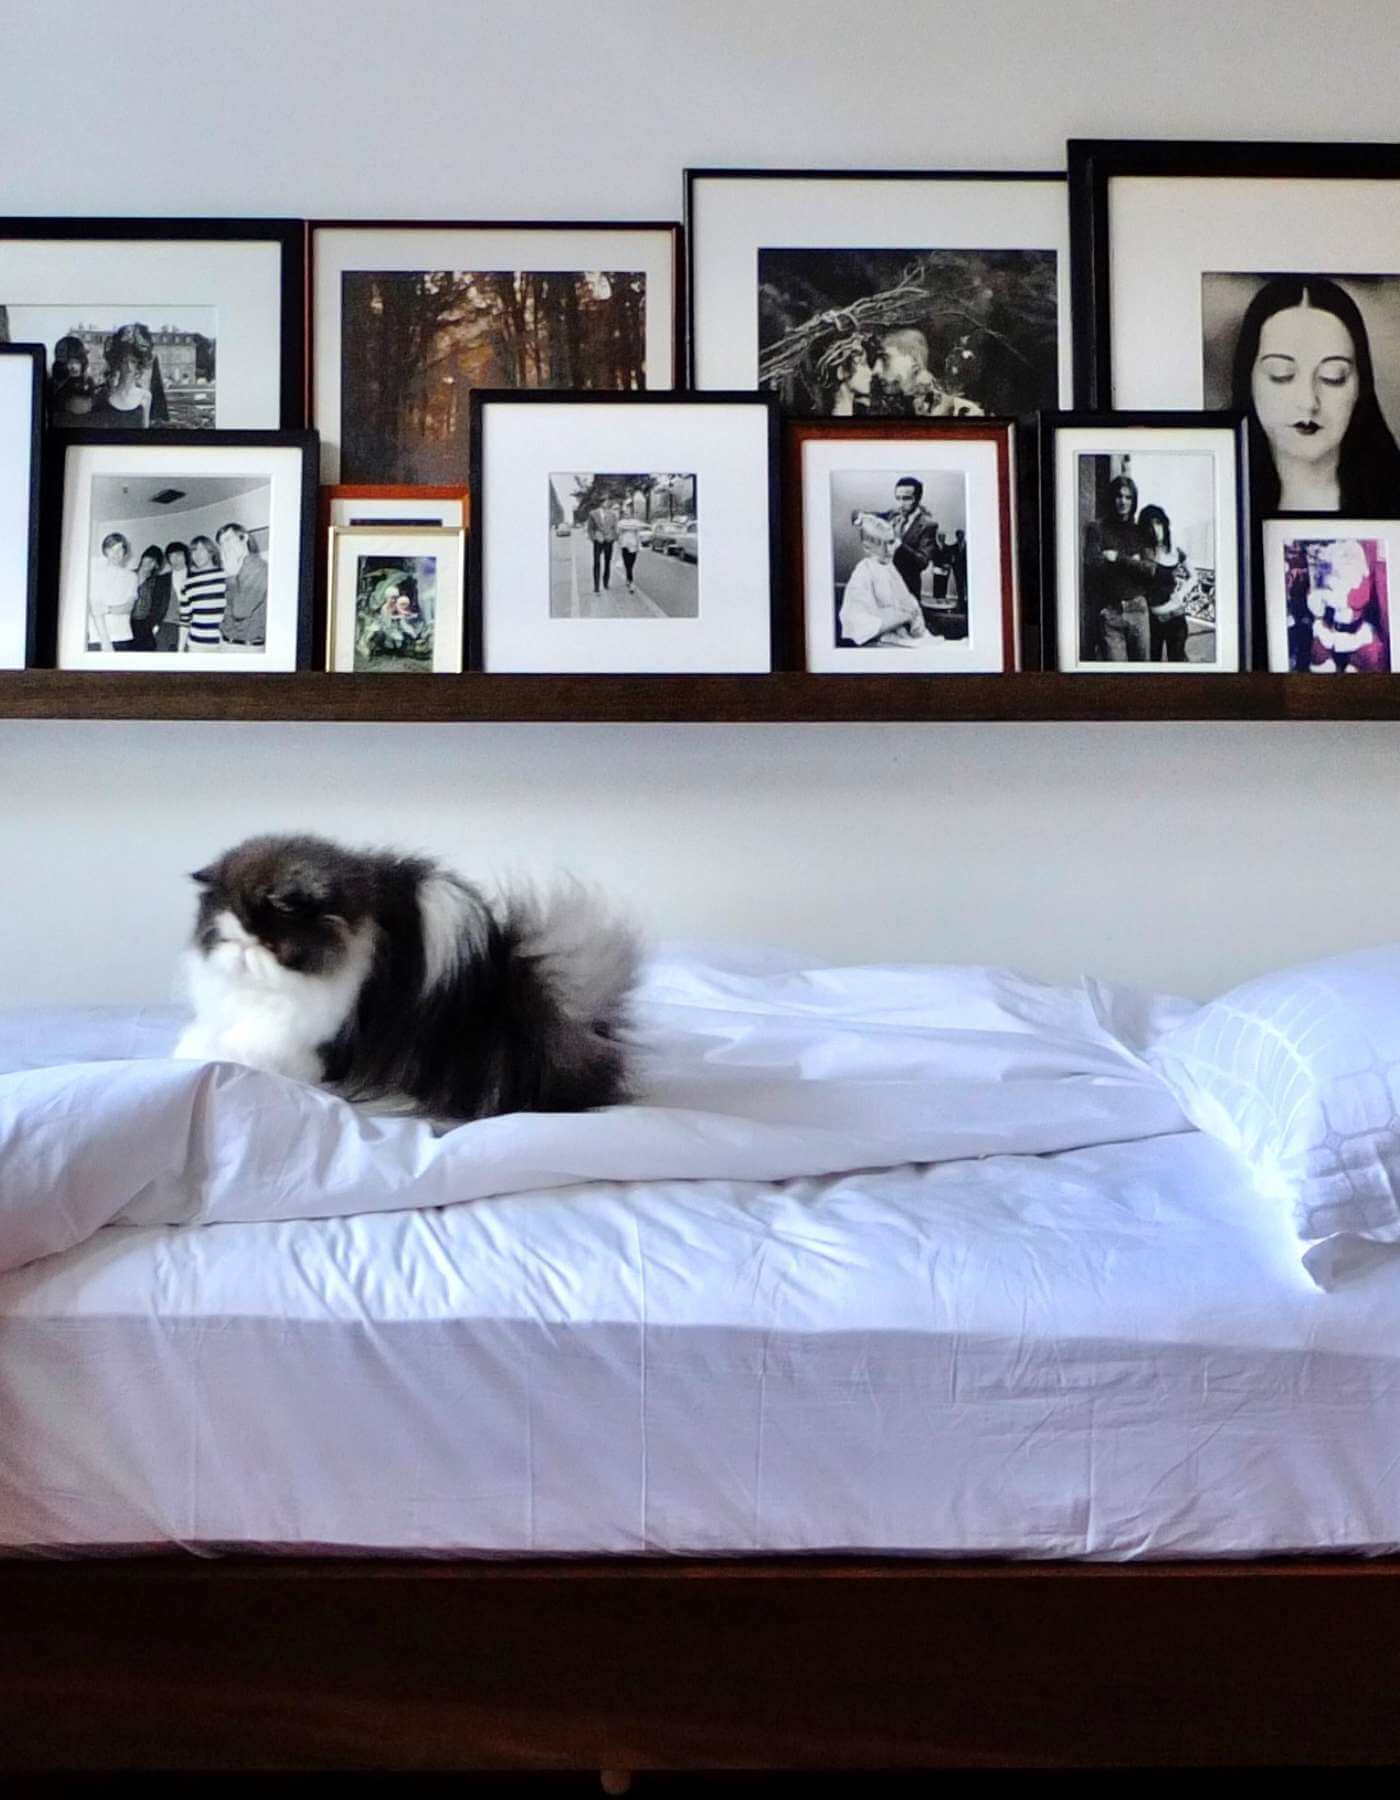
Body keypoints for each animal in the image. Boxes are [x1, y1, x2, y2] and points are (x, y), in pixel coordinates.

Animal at [171, 835, 640, 1116]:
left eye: (270, 944)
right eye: (228, 939)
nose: (244, 952)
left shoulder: (309, 1044)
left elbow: (243, 1049)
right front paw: (188, 1048)